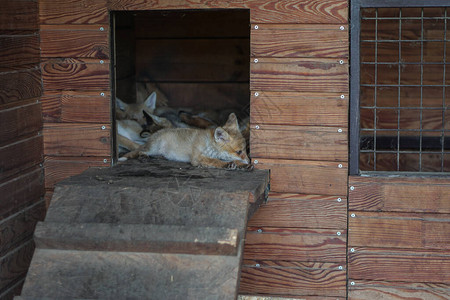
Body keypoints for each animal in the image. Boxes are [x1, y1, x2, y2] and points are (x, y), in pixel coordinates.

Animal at [119, 112, 251, 170]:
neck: (210, 145)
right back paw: (143, 156)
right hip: (153, 148)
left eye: (245, 150)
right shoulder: (197, 158)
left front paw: (243, 165)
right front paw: (228, 164)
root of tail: (152, 136)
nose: (249, 160)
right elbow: (215, 161)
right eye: (239, 151)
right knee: (141, 151)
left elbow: (230, 160)